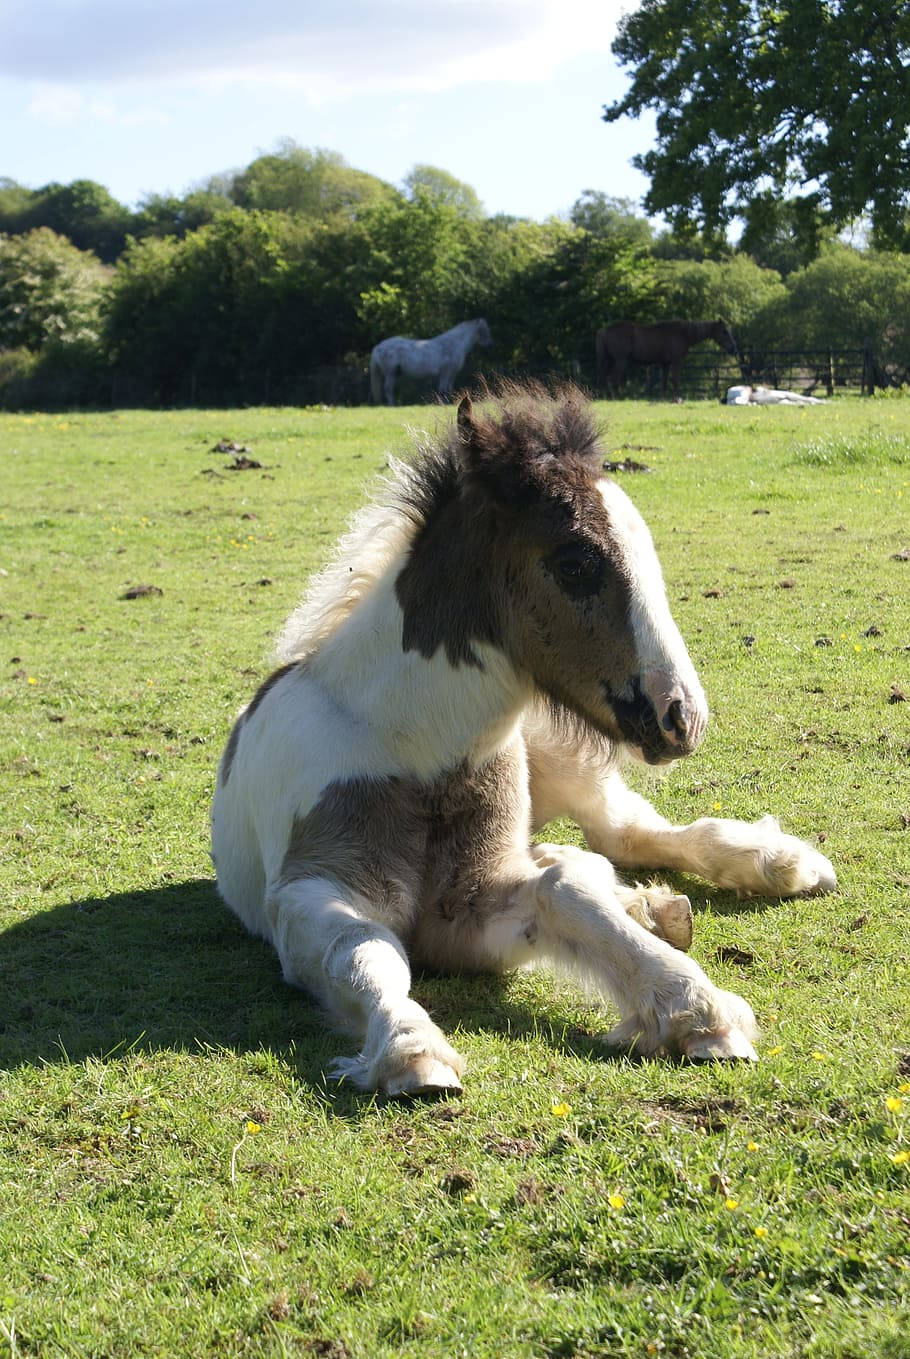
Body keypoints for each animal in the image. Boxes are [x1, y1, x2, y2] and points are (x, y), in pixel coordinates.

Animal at [211, 380, 836, 1092]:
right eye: (575, 563)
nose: (681, 716)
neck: (414, 747)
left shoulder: (470, 911)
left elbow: (564, 892)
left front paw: (697, 1006)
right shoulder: (314, 890)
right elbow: (365, 950)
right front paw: (411, 1048)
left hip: (562, 759)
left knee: (624, 835)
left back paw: (778, 863)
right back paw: (651, 904)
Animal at [597, 318, 738, 396]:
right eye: (724, 331)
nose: (733, 349)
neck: (683, 334)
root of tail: (604, 331)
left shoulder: (665, 364)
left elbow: (664, 383)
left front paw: (664, 398)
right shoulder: (676, 362)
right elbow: (675, 380)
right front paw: (677, 399)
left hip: (610, 360)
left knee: (604, 378)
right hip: (620, 361)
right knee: (614, 378)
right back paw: (618, 397)